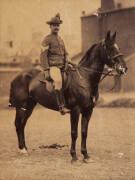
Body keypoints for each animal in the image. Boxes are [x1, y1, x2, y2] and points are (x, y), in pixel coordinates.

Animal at [8, 31, 127, 162]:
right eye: (110, 48)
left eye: (118, 48)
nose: (123, 68)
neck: (85, 78)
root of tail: (17, 76)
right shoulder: (75, 110)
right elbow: (74, 133)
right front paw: (74, 156)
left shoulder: (88, 110)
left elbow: (84, 132)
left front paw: (85, 155)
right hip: (21, 107)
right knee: (18, 124)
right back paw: (22, 150)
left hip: (29, 107)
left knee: (22, 125)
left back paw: (24, 148)